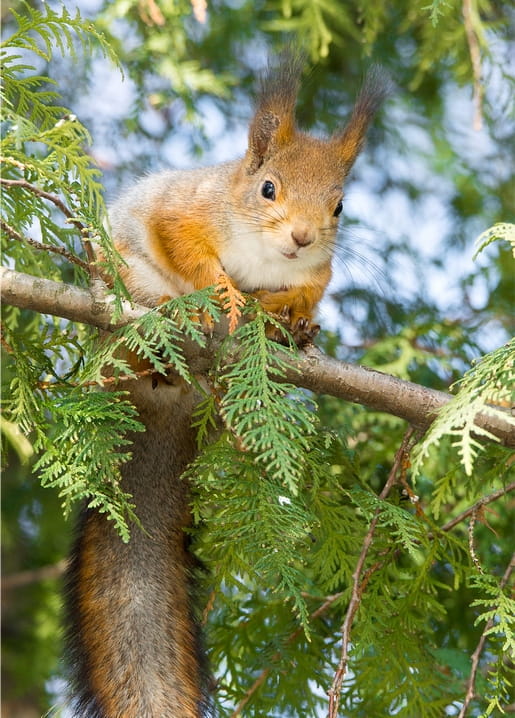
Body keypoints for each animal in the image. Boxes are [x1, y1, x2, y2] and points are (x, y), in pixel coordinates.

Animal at [64, 53, 389, 718]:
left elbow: (308, 289)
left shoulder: (318, 272)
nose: (302, 238)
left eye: (340, 207)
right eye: (268, 189)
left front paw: (292, 317)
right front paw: (224, 291)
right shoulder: (183, 209)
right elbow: (184, 244)